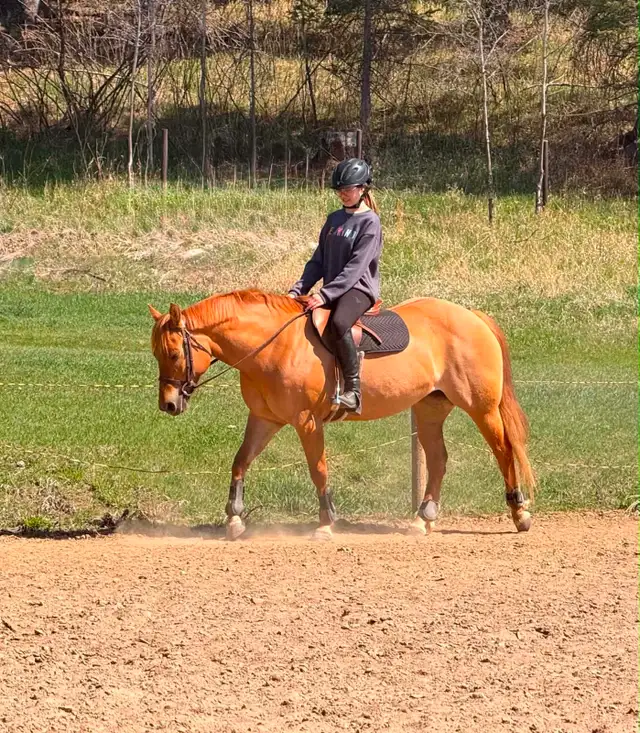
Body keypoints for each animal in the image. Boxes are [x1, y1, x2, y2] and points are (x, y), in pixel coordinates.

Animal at [149, 289, 534, 540]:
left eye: (173, 353)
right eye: (157, 353)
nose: (168, 404)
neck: (275, 345)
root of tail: (472, 316)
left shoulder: (307, 422)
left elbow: (318, 469)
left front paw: (325, 522)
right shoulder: (264, 419)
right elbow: (240, 461)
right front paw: (234, 518)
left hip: (481, 408)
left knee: (504, 452)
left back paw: (519, 513)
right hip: (429, 409)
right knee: (438, 460)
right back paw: (423, 520)